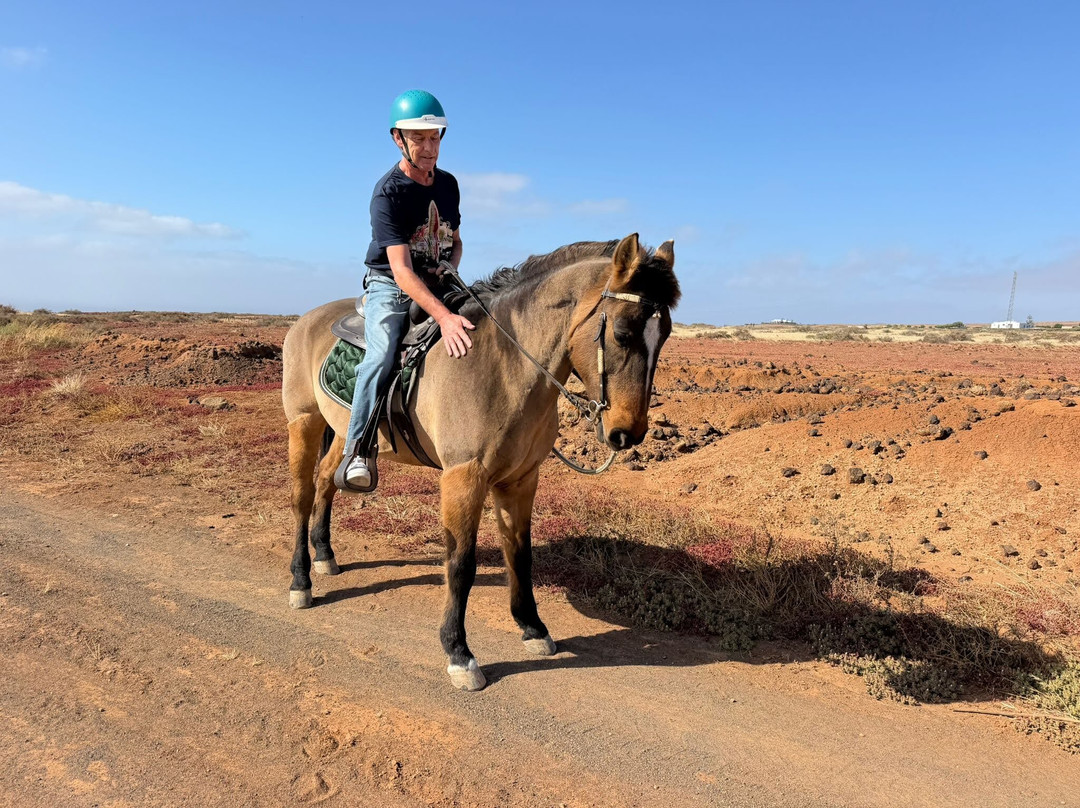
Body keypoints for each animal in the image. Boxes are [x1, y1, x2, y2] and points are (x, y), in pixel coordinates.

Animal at [281, 233, 681, 690]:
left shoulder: (520, 479)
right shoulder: (463, 477)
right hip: (304, 423)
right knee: (302, 497)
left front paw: (533, 628)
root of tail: (306, 320)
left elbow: (519, 553)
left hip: (344, 433)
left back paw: (325, 555)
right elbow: (461, 564)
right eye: (621, 332)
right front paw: (459, 652)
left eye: (665, 335)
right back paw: (301, 581)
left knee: (327, 482)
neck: (503, 364)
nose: (627, 433)